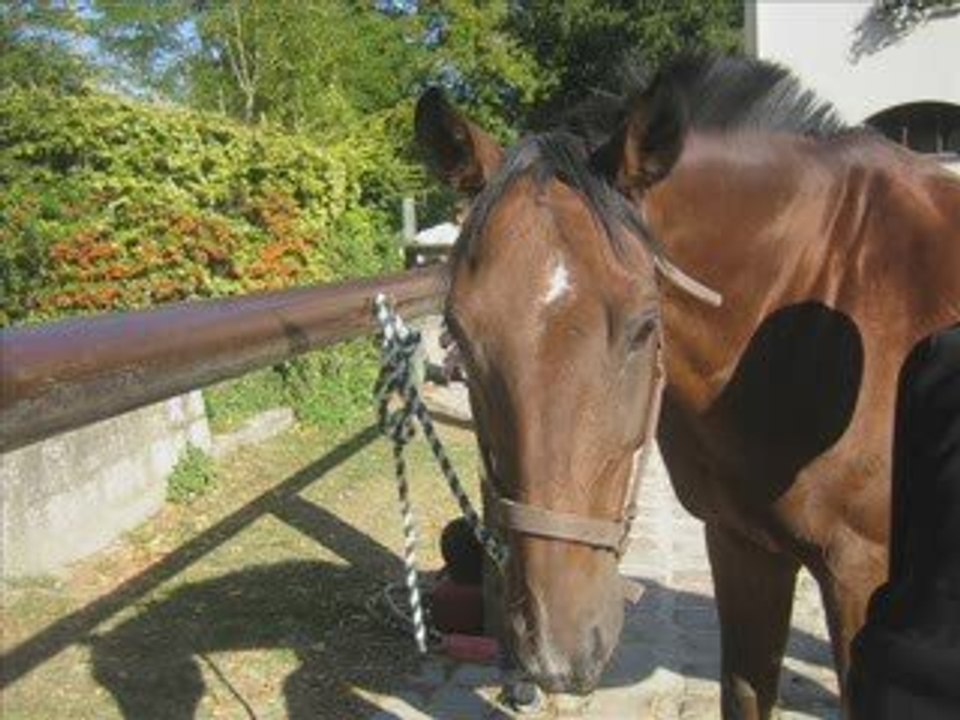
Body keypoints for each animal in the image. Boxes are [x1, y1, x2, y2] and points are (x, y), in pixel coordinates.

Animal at [414, 54, 960, 719]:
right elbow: (745, 691)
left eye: (645, 325)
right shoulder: (742, 546)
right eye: (459, 333)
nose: (554, 651)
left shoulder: (863, 576)